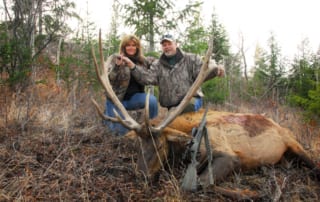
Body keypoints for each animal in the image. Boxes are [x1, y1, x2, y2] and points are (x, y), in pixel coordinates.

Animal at [90, 30, 320, 200]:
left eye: (161, 145)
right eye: (137, 145)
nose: (143, 176)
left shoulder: (229, 155)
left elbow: (199, 184)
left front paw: (251, 193)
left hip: (294, 143)